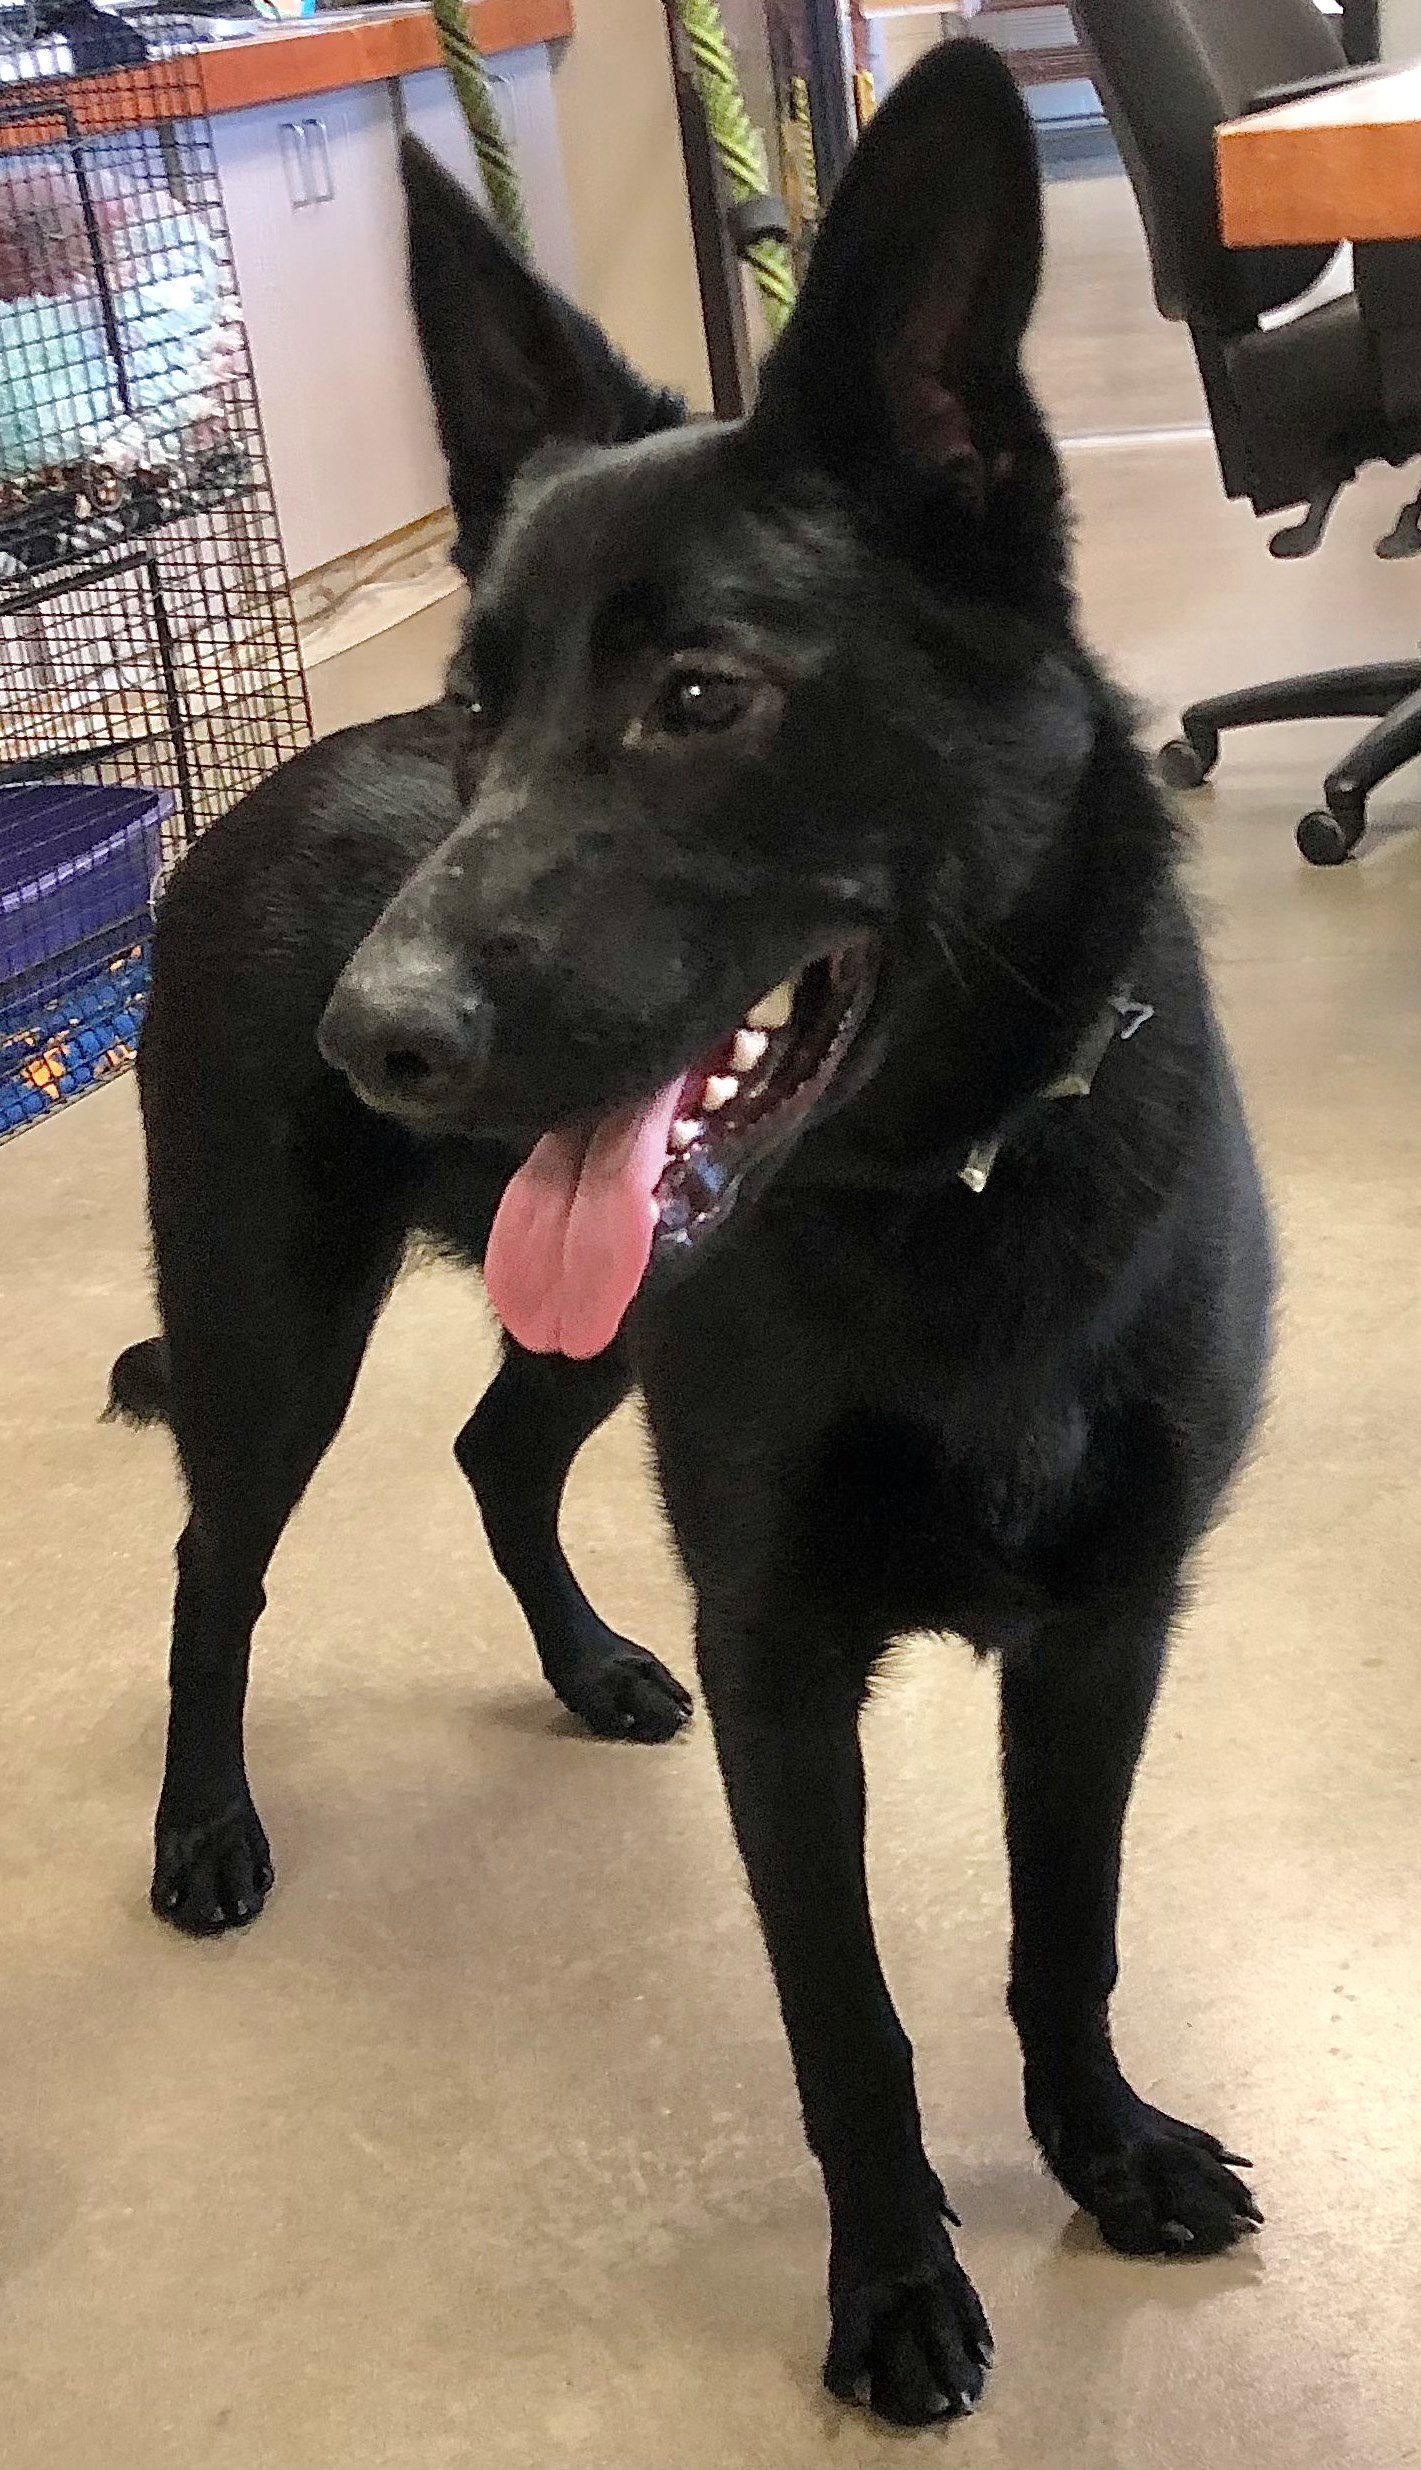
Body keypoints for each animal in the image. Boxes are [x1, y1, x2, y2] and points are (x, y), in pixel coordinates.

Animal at [112, 43, 1272, 2424]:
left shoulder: (1106, 1634)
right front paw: (895, 2281)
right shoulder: (782, 1669)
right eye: (477, 708)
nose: (372, 1036)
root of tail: (257, 789)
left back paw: (580, 1667)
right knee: (213, 1569)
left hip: (576, 1334)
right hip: (273, 1335)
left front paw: (1099, 2149)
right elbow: (850, 2022)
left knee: (492, 1455)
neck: (953, 1193)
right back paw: (203, 1824)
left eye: (700, 699)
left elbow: (1067, 1932)